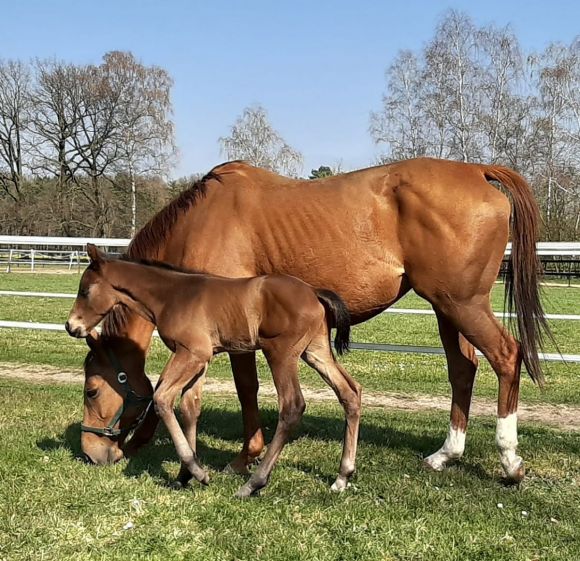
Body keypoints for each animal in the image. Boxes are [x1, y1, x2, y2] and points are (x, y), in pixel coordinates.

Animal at [67, 244, 358, 494]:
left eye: (84, 290)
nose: (71, 326)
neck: (172, 296)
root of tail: (313, 292)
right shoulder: (200, 359)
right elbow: (189, 408)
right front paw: (184, 475)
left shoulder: (192, 352)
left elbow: (162, 398)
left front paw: (197, 471)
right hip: (316, 351)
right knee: (350, 392)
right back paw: (342, 477)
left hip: (281, 354)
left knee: (292, 406)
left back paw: (253, 483)